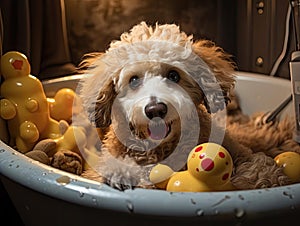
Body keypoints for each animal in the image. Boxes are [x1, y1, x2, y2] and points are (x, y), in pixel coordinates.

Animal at [78, 21, 296, 191]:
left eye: (174, 75)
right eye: (133, 80)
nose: (155, 109)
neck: (161, 147)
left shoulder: (239, 150)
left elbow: (256, 165)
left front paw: (265, 179)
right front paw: (121, 172)